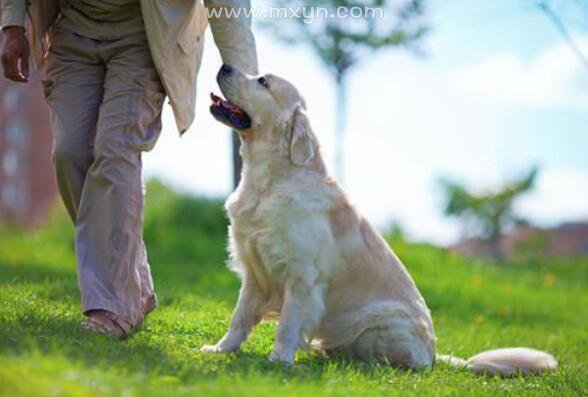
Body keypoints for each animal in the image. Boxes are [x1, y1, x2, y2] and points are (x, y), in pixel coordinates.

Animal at [201, 64, 556, 374]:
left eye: (263, 81)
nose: (224, 66)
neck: (269, 183)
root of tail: (433, 355)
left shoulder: (302, 275)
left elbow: (288, 324)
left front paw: (279, 360)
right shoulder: (254, 269)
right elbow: (239, 317)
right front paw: (220, 349)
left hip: (380, 320)